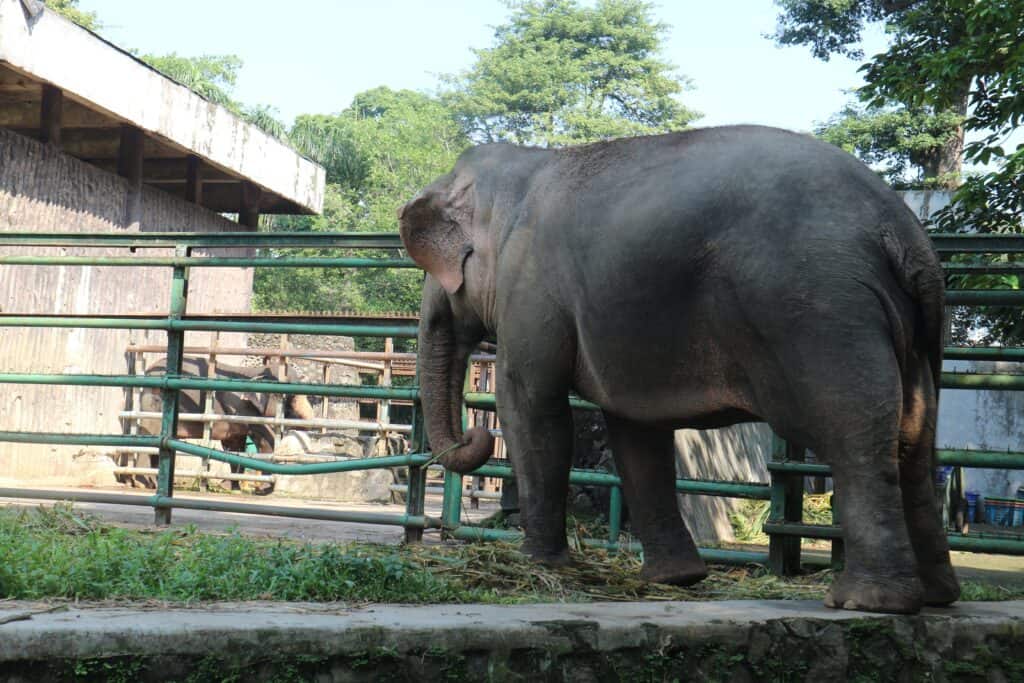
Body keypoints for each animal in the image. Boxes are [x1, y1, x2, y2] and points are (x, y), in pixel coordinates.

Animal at [133, 358, 315, 491]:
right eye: (291, 398)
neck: (257, 372)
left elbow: (235, 447)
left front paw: (231, 488)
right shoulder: (242, 410)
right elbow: (265, 441)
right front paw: (262, 489)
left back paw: (152, 483)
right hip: (153, 406)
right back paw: (144, 484)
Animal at [397, 125, 950, 618]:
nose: (473, 435)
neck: (521, 168)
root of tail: (902, 230)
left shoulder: (530, 287)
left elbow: (533, 407)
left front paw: (538, 564)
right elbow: (635, 435)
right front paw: (675, 579)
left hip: (821, 315)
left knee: (855, 434)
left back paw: (865, 602)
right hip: (907, 337)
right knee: (914, 440)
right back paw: (935, 596)